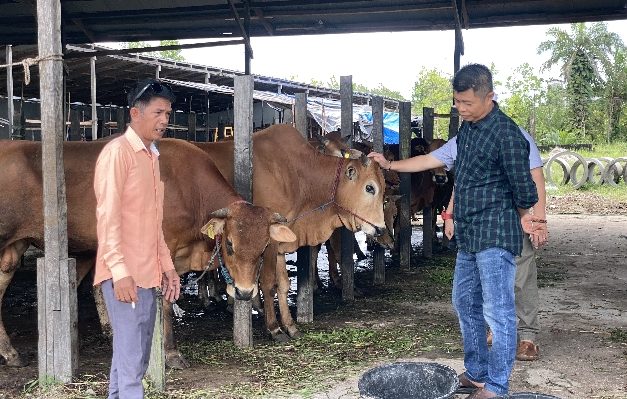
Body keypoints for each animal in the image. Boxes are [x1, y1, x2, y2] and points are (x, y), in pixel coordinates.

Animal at [0, 140, 296, 368]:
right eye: (231, 244)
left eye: (263, 249)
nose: (245, 292)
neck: (189, 190)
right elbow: (163, 301)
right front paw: (170, 353)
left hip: (16, 248)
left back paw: (12, 353)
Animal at [194, 124, 388, 340]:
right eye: (370, 188)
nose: (380, 228)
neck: (298, 175)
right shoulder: (268, 243)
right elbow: (268, 283)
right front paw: (274, 327)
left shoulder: (281, 243)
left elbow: (284, 285)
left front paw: (290, 325)